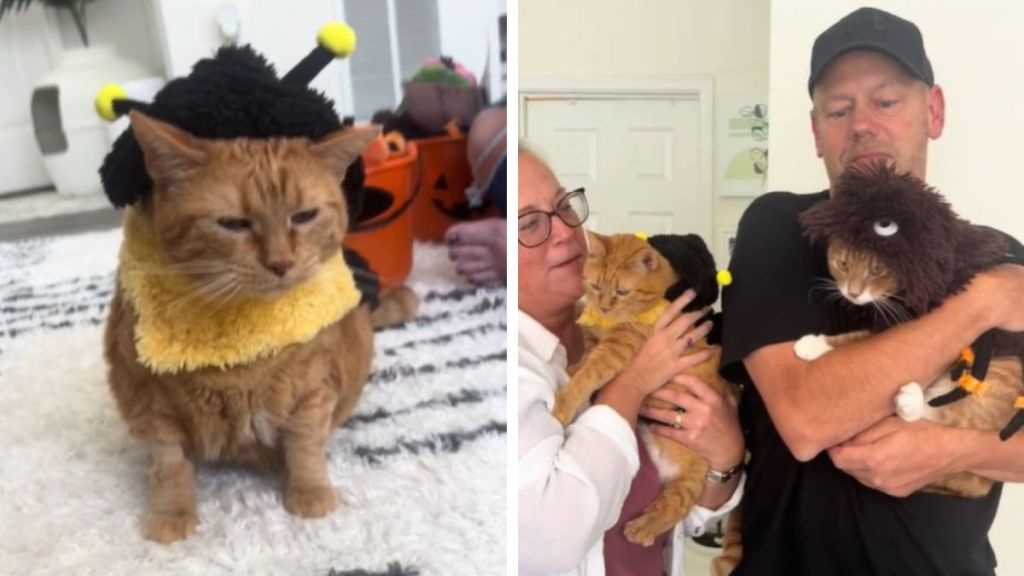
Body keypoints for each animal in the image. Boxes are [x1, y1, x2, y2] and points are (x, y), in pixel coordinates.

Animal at [105, 113, 417, 541]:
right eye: (233, 224)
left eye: (303, 216)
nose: (281, 263)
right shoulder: (151, 405)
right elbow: (169, 467)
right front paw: (171, 514)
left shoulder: (314, 391)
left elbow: (305, 446)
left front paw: (310, 492)